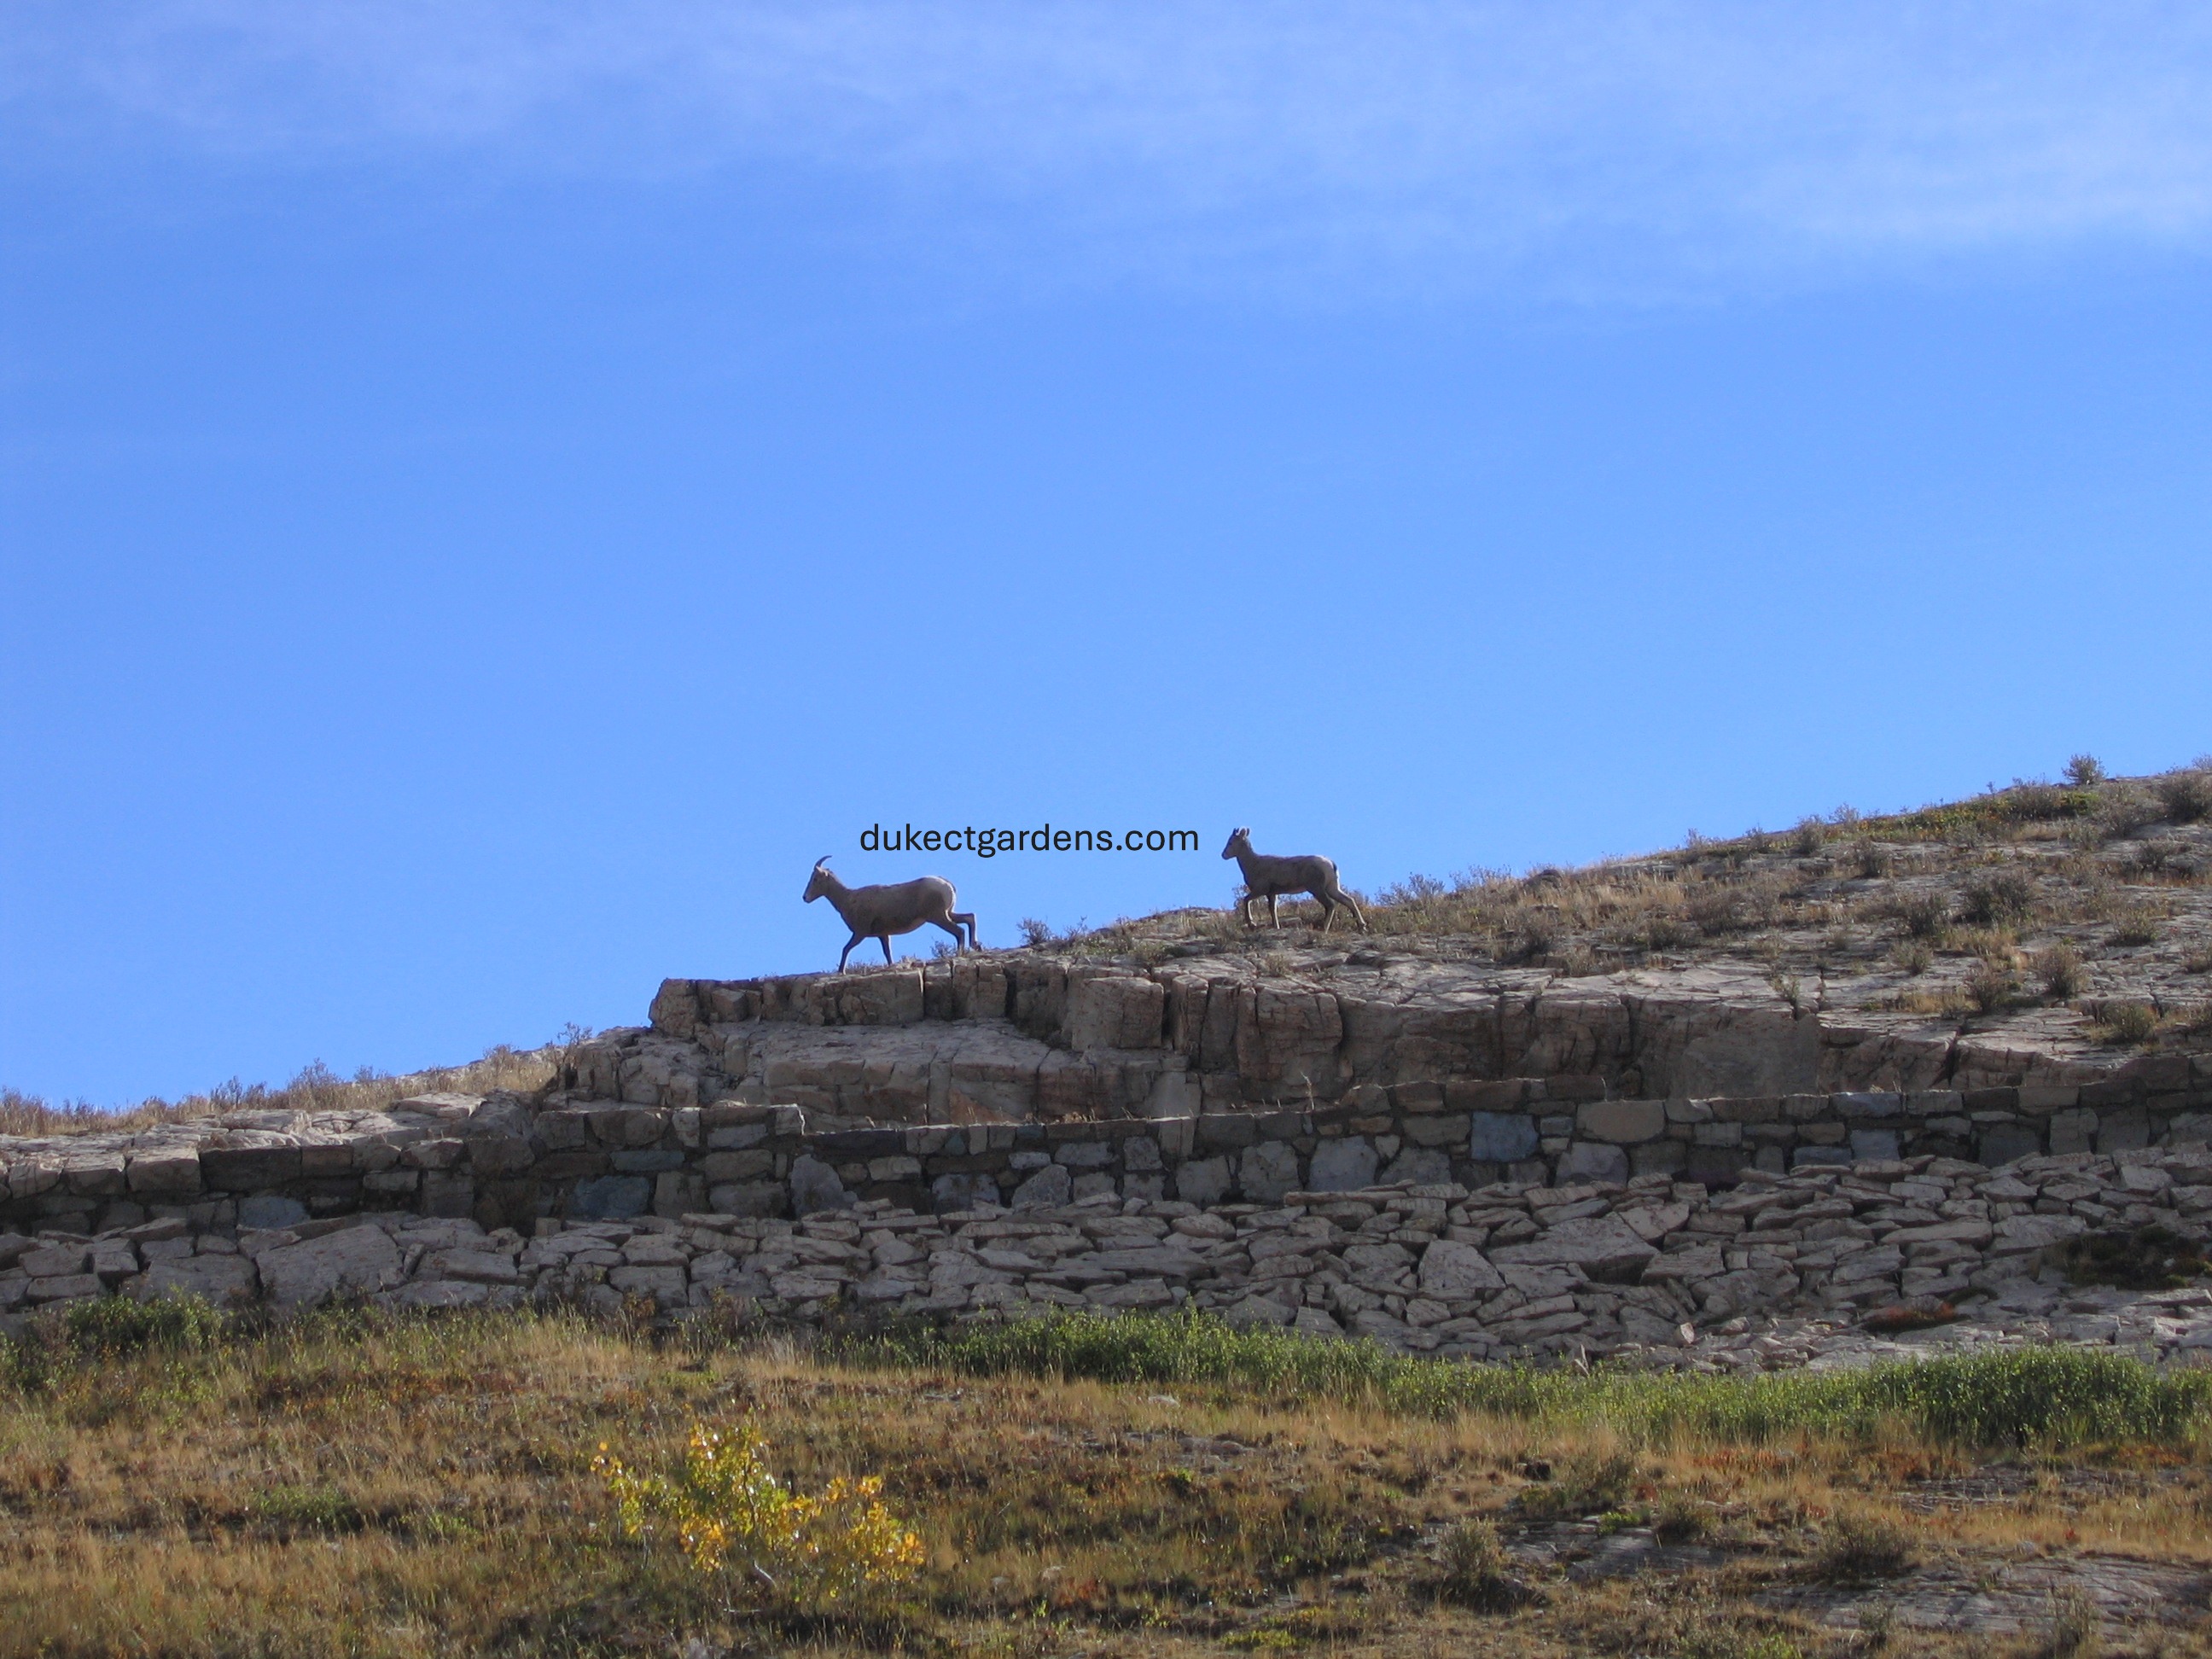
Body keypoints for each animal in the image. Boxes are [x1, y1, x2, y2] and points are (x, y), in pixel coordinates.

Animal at [802, 857, 978, 971]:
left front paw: (841, 971)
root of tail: (946, 884)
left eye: (816, 879)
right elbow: (887, 954)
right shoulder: (883, 935)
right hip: (947, 914)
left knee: (959, 930)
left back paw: (960, 953)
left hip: (938, 917)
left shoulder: (860, 933)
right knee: (969, 918)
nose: (805, 897)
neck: (848, 899)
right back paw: (975, 946)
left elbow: (845, 949)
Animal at [1221, 827, 1367, 933]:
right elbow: (1272, 910)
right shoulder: (1272, 894)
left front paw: (1252, 924)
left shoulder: (1260, 890)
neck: (1253, 864)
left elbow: (1246, 900)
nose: (1223, 855)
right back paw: (1362, 926)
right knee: (1349, 900)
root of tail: (1330, 863)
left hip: (1316, 889)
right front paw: (1276, 927)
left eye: (1230, 842)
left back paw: (1324, 929)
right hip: (1332, 887)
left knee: (1330, 905)